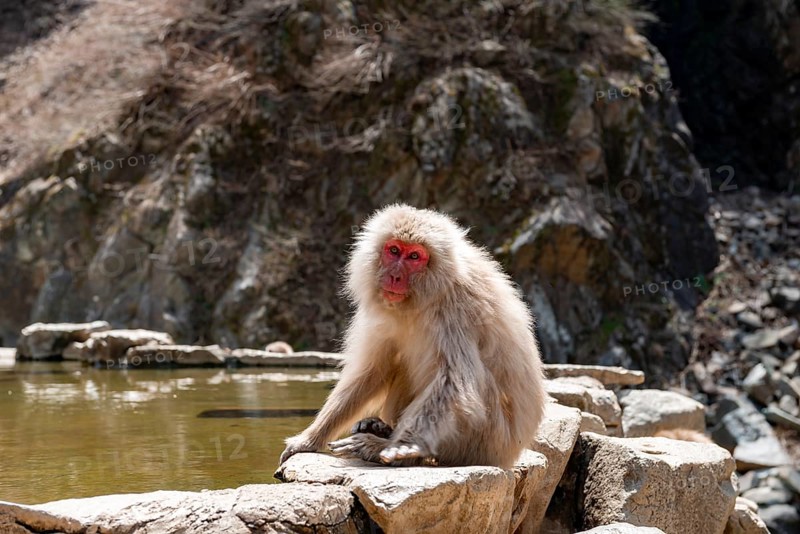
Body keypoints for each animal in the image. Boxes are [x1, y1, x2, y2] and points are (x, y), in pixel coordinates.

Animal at [279, 204, 547, 469]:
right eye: (394, 250)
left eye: (415, 257)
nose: (395, 276)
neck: (424, 297)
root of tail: (509, 455)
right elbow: (373, 370)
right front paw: (310, 438)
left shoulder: (456, 310)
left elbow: (454, 379)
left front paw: (399, 447)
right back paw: (379, 428)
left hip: (486, 441)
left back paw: (390, 448)